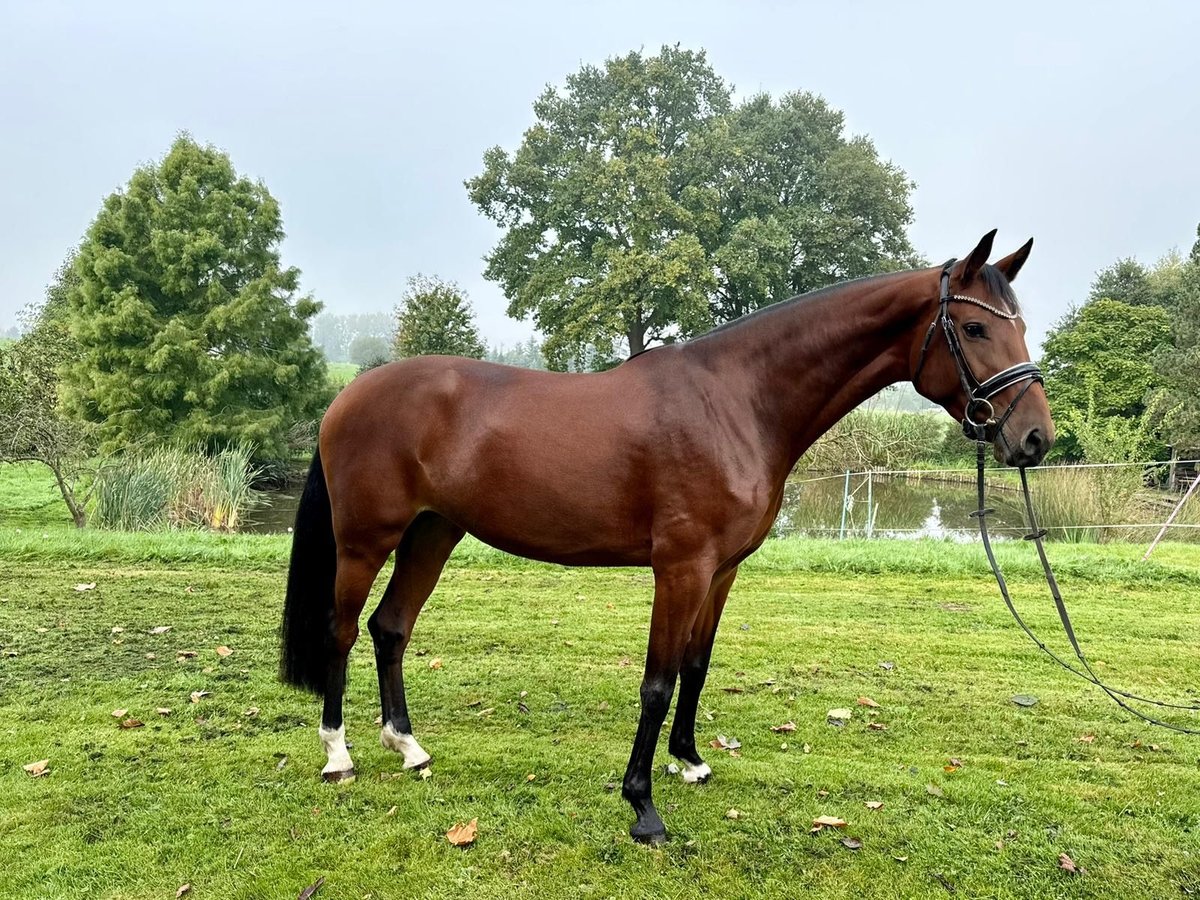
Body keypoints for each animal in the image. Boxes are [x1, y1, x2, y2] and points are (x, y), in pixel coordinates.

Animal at [278, 230, 1051, 844]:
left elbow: (696, 666)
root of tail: (347, 396)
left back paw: (408, 746)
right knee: (341, 631)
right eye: (975, 330)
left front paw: (691, 760)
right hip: (366, 541)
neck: (738, 401)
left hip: (433, 533)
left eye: (1019, 325)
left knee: (390, 627)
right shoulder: (680, 567)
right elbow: (656, 679)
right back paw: (339, 754)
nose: (1035, 438)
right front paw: (642, 807)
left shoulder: (722, 570)